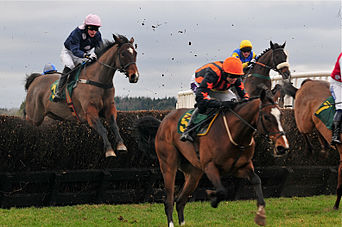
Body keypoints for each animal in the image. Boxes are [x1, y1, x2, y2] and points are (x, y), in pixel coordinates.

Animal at [136, 89, 288, 226]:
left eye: (281, 115)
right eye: (267, 117)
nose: (283, 147)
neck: (235, 133)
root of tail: (163, 121)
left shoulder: (241, 167)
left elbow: (257, 180)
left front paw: (261, 215)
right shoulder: (210, 167)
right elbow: (221, 191)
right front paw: (212, 197)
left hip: (194, 173)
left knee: (180, 201)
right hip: (168, 165)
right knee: (169, 200)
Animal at [292, 79, 342, 210]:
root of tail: (308, 81)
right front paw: (336, 206)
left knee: (319, 127)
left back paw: (325, 147)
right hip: (304, 121)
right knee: (303, 130)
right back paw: (309, 149)